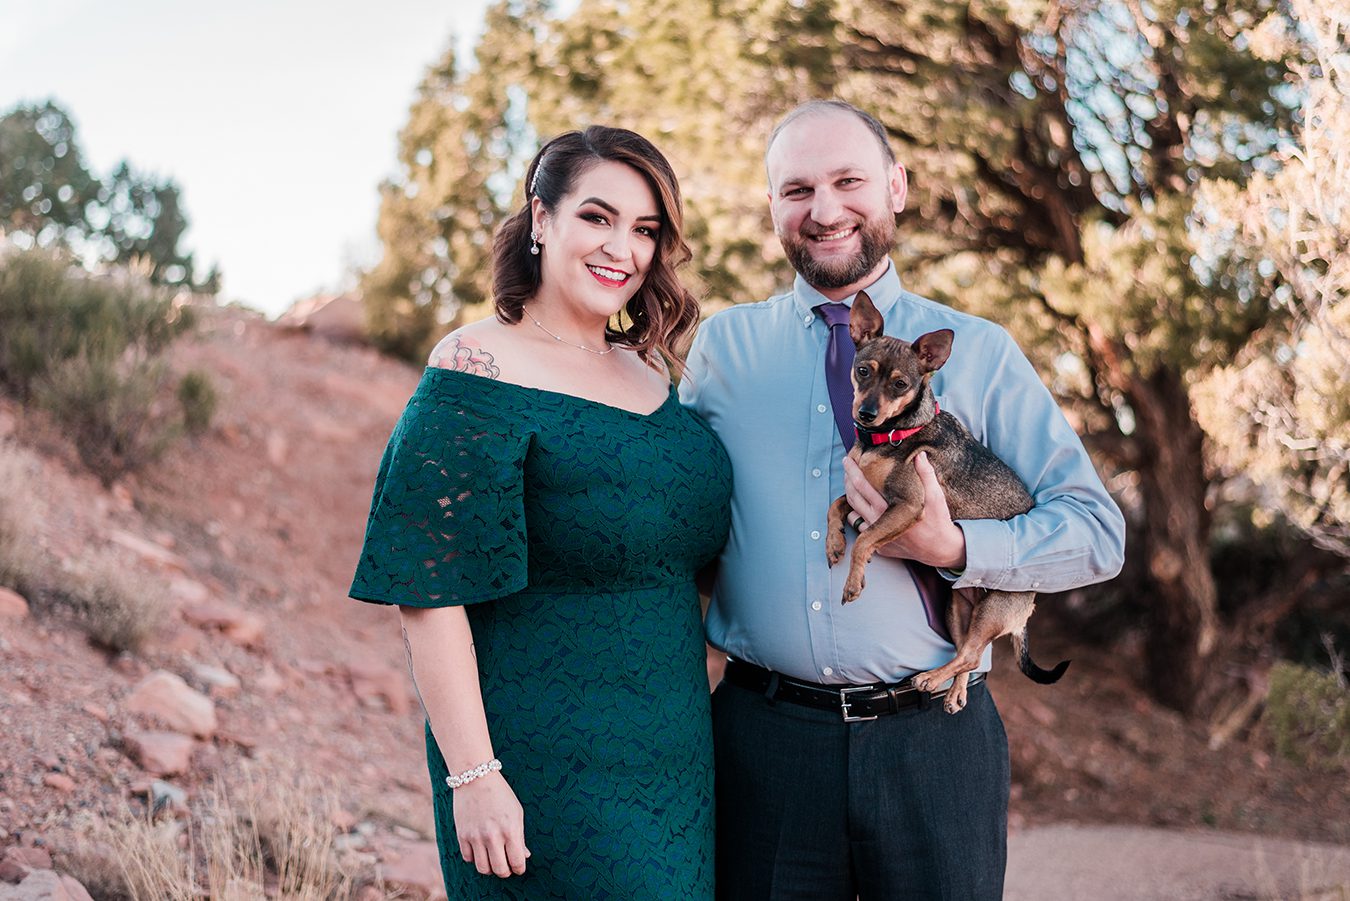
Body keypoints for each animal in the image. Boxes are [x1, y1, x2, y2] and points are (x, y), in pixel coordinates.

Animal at [820, 293, 1063, 713]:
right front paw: (835, 543)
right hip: (958, 609)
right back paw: (954, 692)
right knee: (968, 654)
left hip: (992, 610)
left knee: (970, 654)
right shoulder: (863, 494)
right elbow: (835, 505)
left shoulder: (907, 505)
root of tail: (1029, 605)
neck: (890, 435)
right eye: (862, 371)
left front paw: (853, 581)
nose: (866, 413)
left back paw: (930, 679)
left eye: (901, 384)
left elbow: (865, 540)